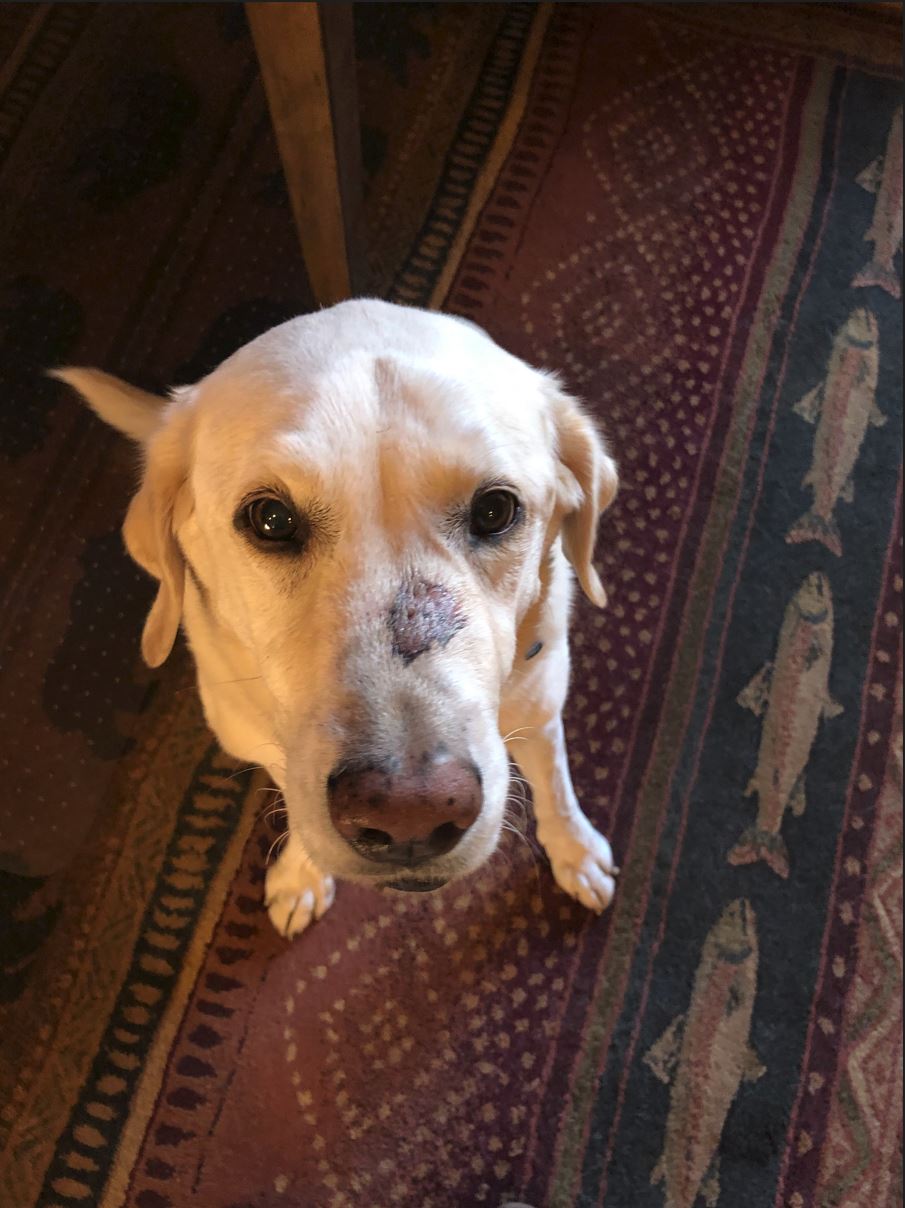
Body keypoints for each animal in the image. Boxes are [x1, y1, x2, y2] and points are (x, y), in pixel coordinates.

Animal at [54, 300, 620, 937]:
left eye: (496, 509)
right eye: (271, 519)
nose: (410, 814)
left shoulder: (542, 708)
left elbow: (555, 785)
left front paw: (575, 851)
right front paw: (301, 875)